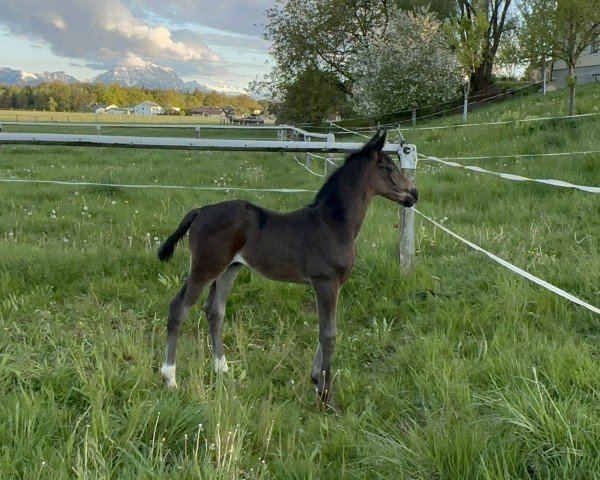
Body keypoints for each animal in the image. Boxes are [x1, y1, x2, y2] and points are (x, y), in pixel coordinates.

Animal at [157, 128, 418, 408]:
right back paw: (170, 378)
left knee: (215, 311)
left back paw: (222, 369)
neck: (333, 224)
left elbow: (324, 331)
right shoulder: (325, 281)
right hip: (205, 268)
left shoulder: (332, 285)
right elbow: (329, 334)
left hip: (229, 269)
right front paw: (326, 397)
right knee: (179, 308)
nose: (414, 194)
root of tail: (201, 211)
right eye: (390, 168)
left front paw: (316, 381)